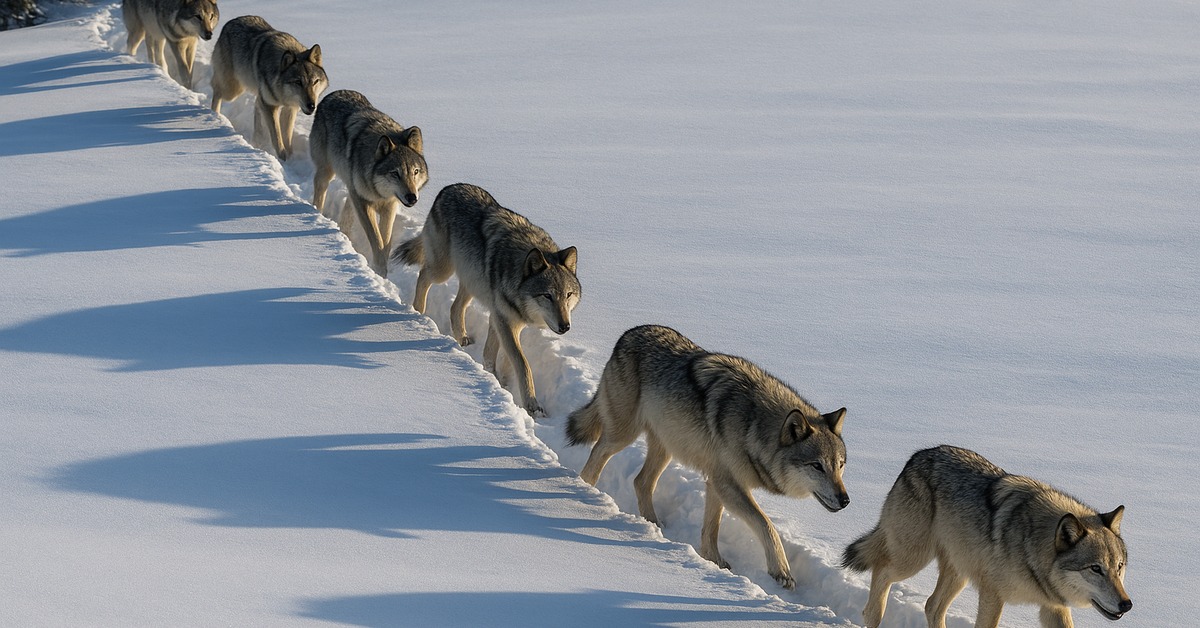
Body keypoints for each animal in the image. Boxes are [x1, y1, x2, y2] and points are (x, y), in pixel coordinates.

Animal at [210, 15, 328, 161]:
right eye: (298, 82)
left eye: (315, 82)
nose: (312, 105)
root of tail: (231, 21)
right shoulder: (271, 106)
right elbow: (277, 138)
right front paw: (283, 160)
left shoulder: (291, 107)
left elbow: (287, 138)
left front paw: (291, 158)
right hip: (232, 91)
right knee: (216, 89)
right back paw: (215, 115)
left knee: (256, 105)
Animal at [310, 90, 427, 277]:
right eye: (395, 173)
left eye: (415, 172)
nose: (412, 198)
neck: (379, 192)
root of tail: (335, 92)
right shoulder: (364, 203)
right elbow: (377, 241)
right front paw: (378, 271)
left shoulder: (390, 205)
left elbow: (386, 243)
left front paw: (384, 273)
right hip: (326, 173)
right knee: (319, 194)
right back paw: (318, 215)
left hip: (351, 188)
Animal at [392, 183, 580, 417]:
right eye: (547, 295)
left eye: (568, 295)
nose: (565, 326)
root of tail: (448, 188)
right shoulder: (504, 321)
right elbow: (522, 363)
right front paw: (532, 406)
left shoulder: (506, 320)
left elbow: (497, 355)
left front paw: (498, 379)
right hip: (442, 271)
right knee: (423, 275)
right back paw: (419, 313)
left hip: (471, 281)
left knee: (455, 307)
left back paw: (462, 338)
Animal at [567, 324, 849, 589]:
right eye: (817, 466)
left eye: (840, 466)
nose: (845, 500)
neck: (753, 425)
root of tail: (629, 333)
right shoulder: (727, 484)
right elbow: (766, 525)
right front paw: (781, 572)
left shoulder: (717, 482)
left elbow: (711, 528)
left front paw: (713, 561)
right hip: (623, 435)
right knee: (596, 457)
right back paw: (585, 495)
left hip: (666, 447)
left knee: (641, 481)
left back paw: (653, 524)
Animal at [842, 445, 1132, 628]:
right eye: (1095, 568)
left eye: (1119, 567)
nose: (1127, 605)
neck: (1030, 547)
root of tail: (916, 457)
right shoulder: (993, 596)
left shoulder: (1053, 607)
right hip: (913, 559)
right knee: (882, 570)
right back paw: (872, 616)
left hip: (958, 572)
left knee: (931, 606)